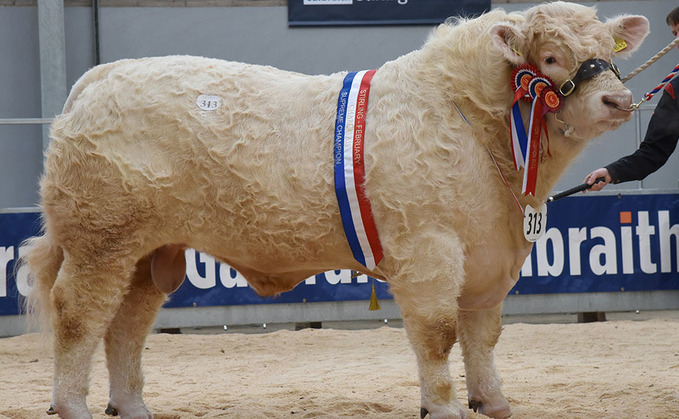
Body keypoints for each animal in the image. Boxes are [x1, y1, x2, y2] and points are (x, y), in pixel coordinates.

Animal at [23, 1, 652, 418]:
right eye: (550, 55)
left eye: (607, 51)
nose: (618, 99)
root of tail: (106, 73)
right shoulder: (428, 250)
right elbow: (439, 334)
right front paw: (443, 406)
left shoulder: (488, 257)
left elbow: (483, 335)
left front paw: (492, 401)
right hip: (101, 240)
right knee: (79, 315)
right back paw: (72, 406)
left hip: (147, 251)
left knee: (126, 325)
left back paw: (132, 406)